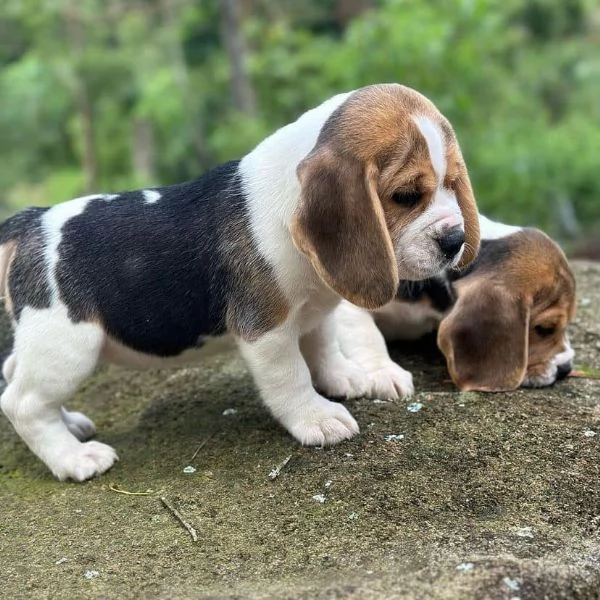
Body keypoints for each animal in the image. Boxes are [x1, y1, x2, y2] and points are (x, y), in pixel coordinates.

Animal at [0, 84, 478, 480]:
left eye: (453, 183)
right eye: (405, 196)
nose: (455, 240)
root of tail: (31, 222)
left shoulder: (317, 307)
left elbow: (323, 347)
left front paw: (345, 378)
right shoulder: (266, 331)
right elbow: (292, 377)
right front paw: (317, 418)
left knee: (16, 375)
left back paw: (71, 425)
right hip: (67, 346)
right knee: (21, 403)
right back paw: (74, 458)